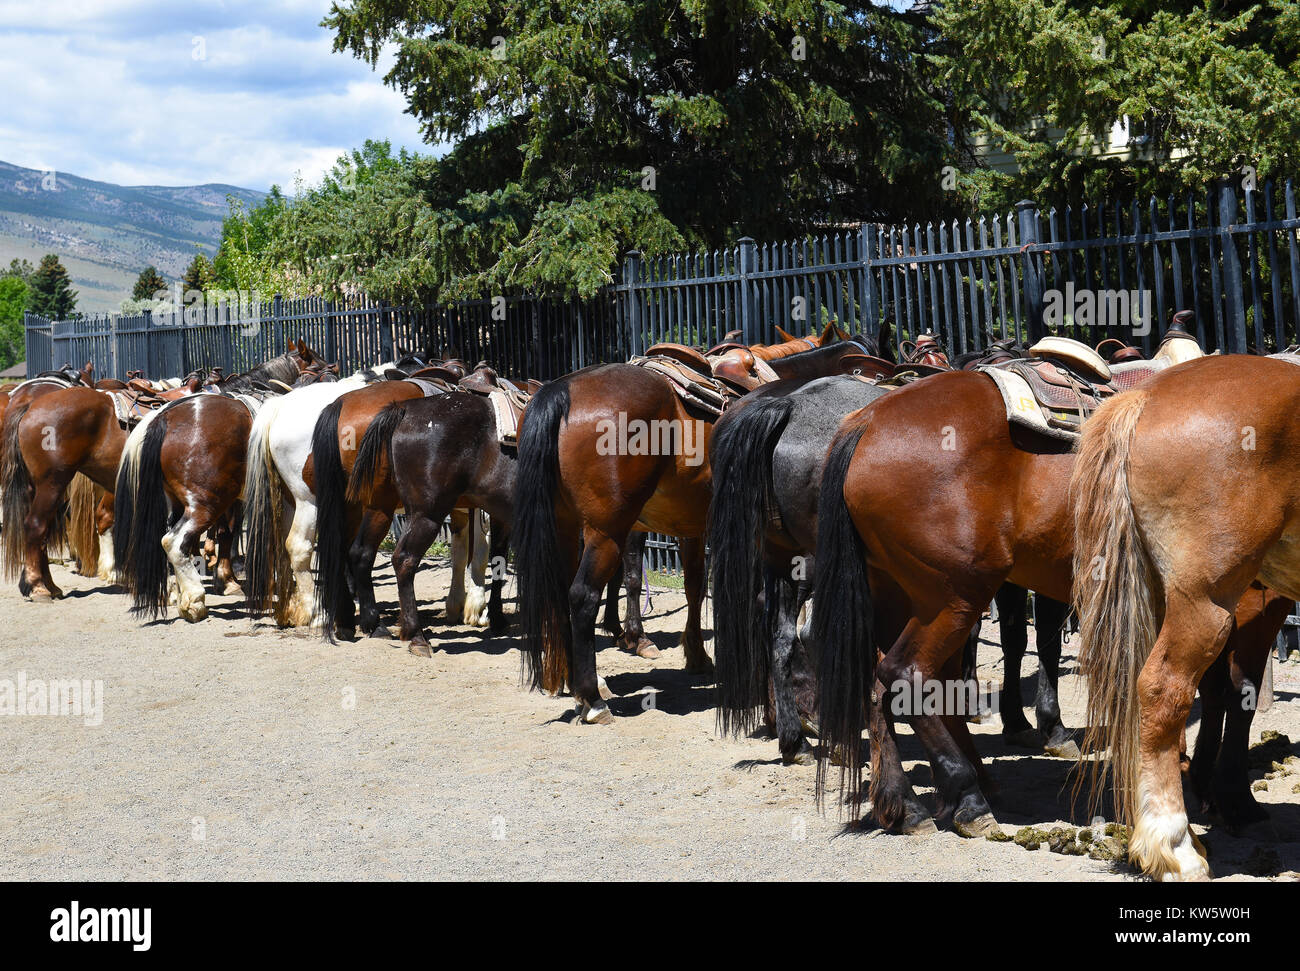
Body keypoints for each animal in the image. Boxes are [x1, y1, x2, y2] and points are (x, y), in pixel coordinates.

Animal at [111, 348, 332, 623]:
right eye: (325, 371)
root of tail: (163, 419)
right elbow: (235, 534)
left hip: (180, 501)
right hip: (206, 502)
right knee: (174, 542)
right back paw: (194, 600)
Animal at [512, 330, 889, 727]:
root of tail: (561, 390)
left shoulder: (692, 526)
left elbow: (694, 586)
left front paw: (696, 655)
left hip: (566, 526)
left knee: (559, 593)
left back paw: (571, 682)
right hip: (606, 531)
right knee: (582, 597)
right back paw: (593, 697)